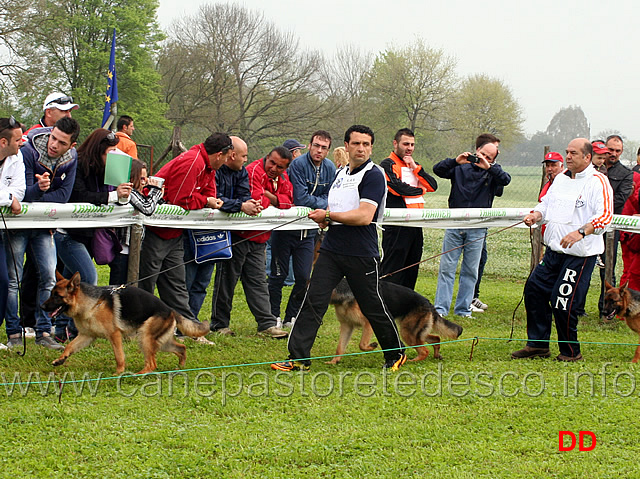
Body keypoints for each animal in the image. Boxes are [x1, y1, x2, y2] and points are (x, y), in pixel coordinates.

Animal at [40, 274, 210, 376]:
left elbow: (119, 355)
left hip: (145, 338)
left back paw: (138, 375)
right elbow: (69, 346)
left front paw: (118, 373)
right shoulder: (86, 336)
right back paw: (180, 367)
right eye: (51, 294)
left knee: (152, 363)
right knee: (181, 348)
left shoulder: (114, 335)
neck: (92, 304)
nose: (41, 306)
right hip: (160, 342)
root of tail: (171, 310)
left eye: (57, 296)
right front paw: (60, 360)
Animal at [328, 280, 462, 366]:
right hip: (414, 332)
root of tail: (428, 302)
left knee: (424, 350)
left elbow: (362, 344)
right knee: (436, 338)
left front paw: (372, 346)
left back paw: (412, 361)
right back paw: (436, 355)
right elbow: (340, 347)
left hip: (407, 333)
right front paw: (334, 361)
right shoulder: (347, 326)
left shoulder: (368, 323)